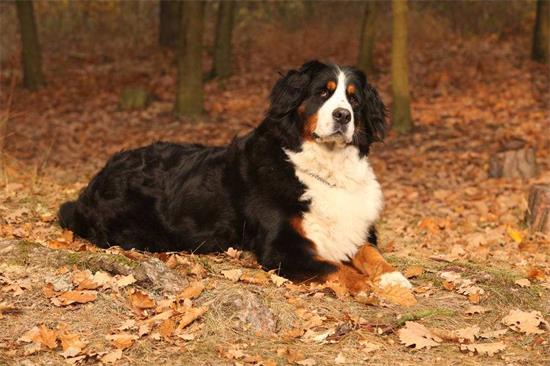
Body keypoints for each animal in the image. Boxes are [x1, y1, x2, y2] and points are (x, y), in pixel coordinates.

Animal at [59, 60, 414, 294]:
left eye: (354, 98)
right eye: (322, 94)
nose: (343, 116)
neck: (321, 167)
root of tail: (96, 179)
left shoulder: (354, 229)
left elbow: (371, 254)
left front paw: (393, 278)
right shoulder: (282, 248)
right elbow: (336, 267)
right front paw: (371, 287)